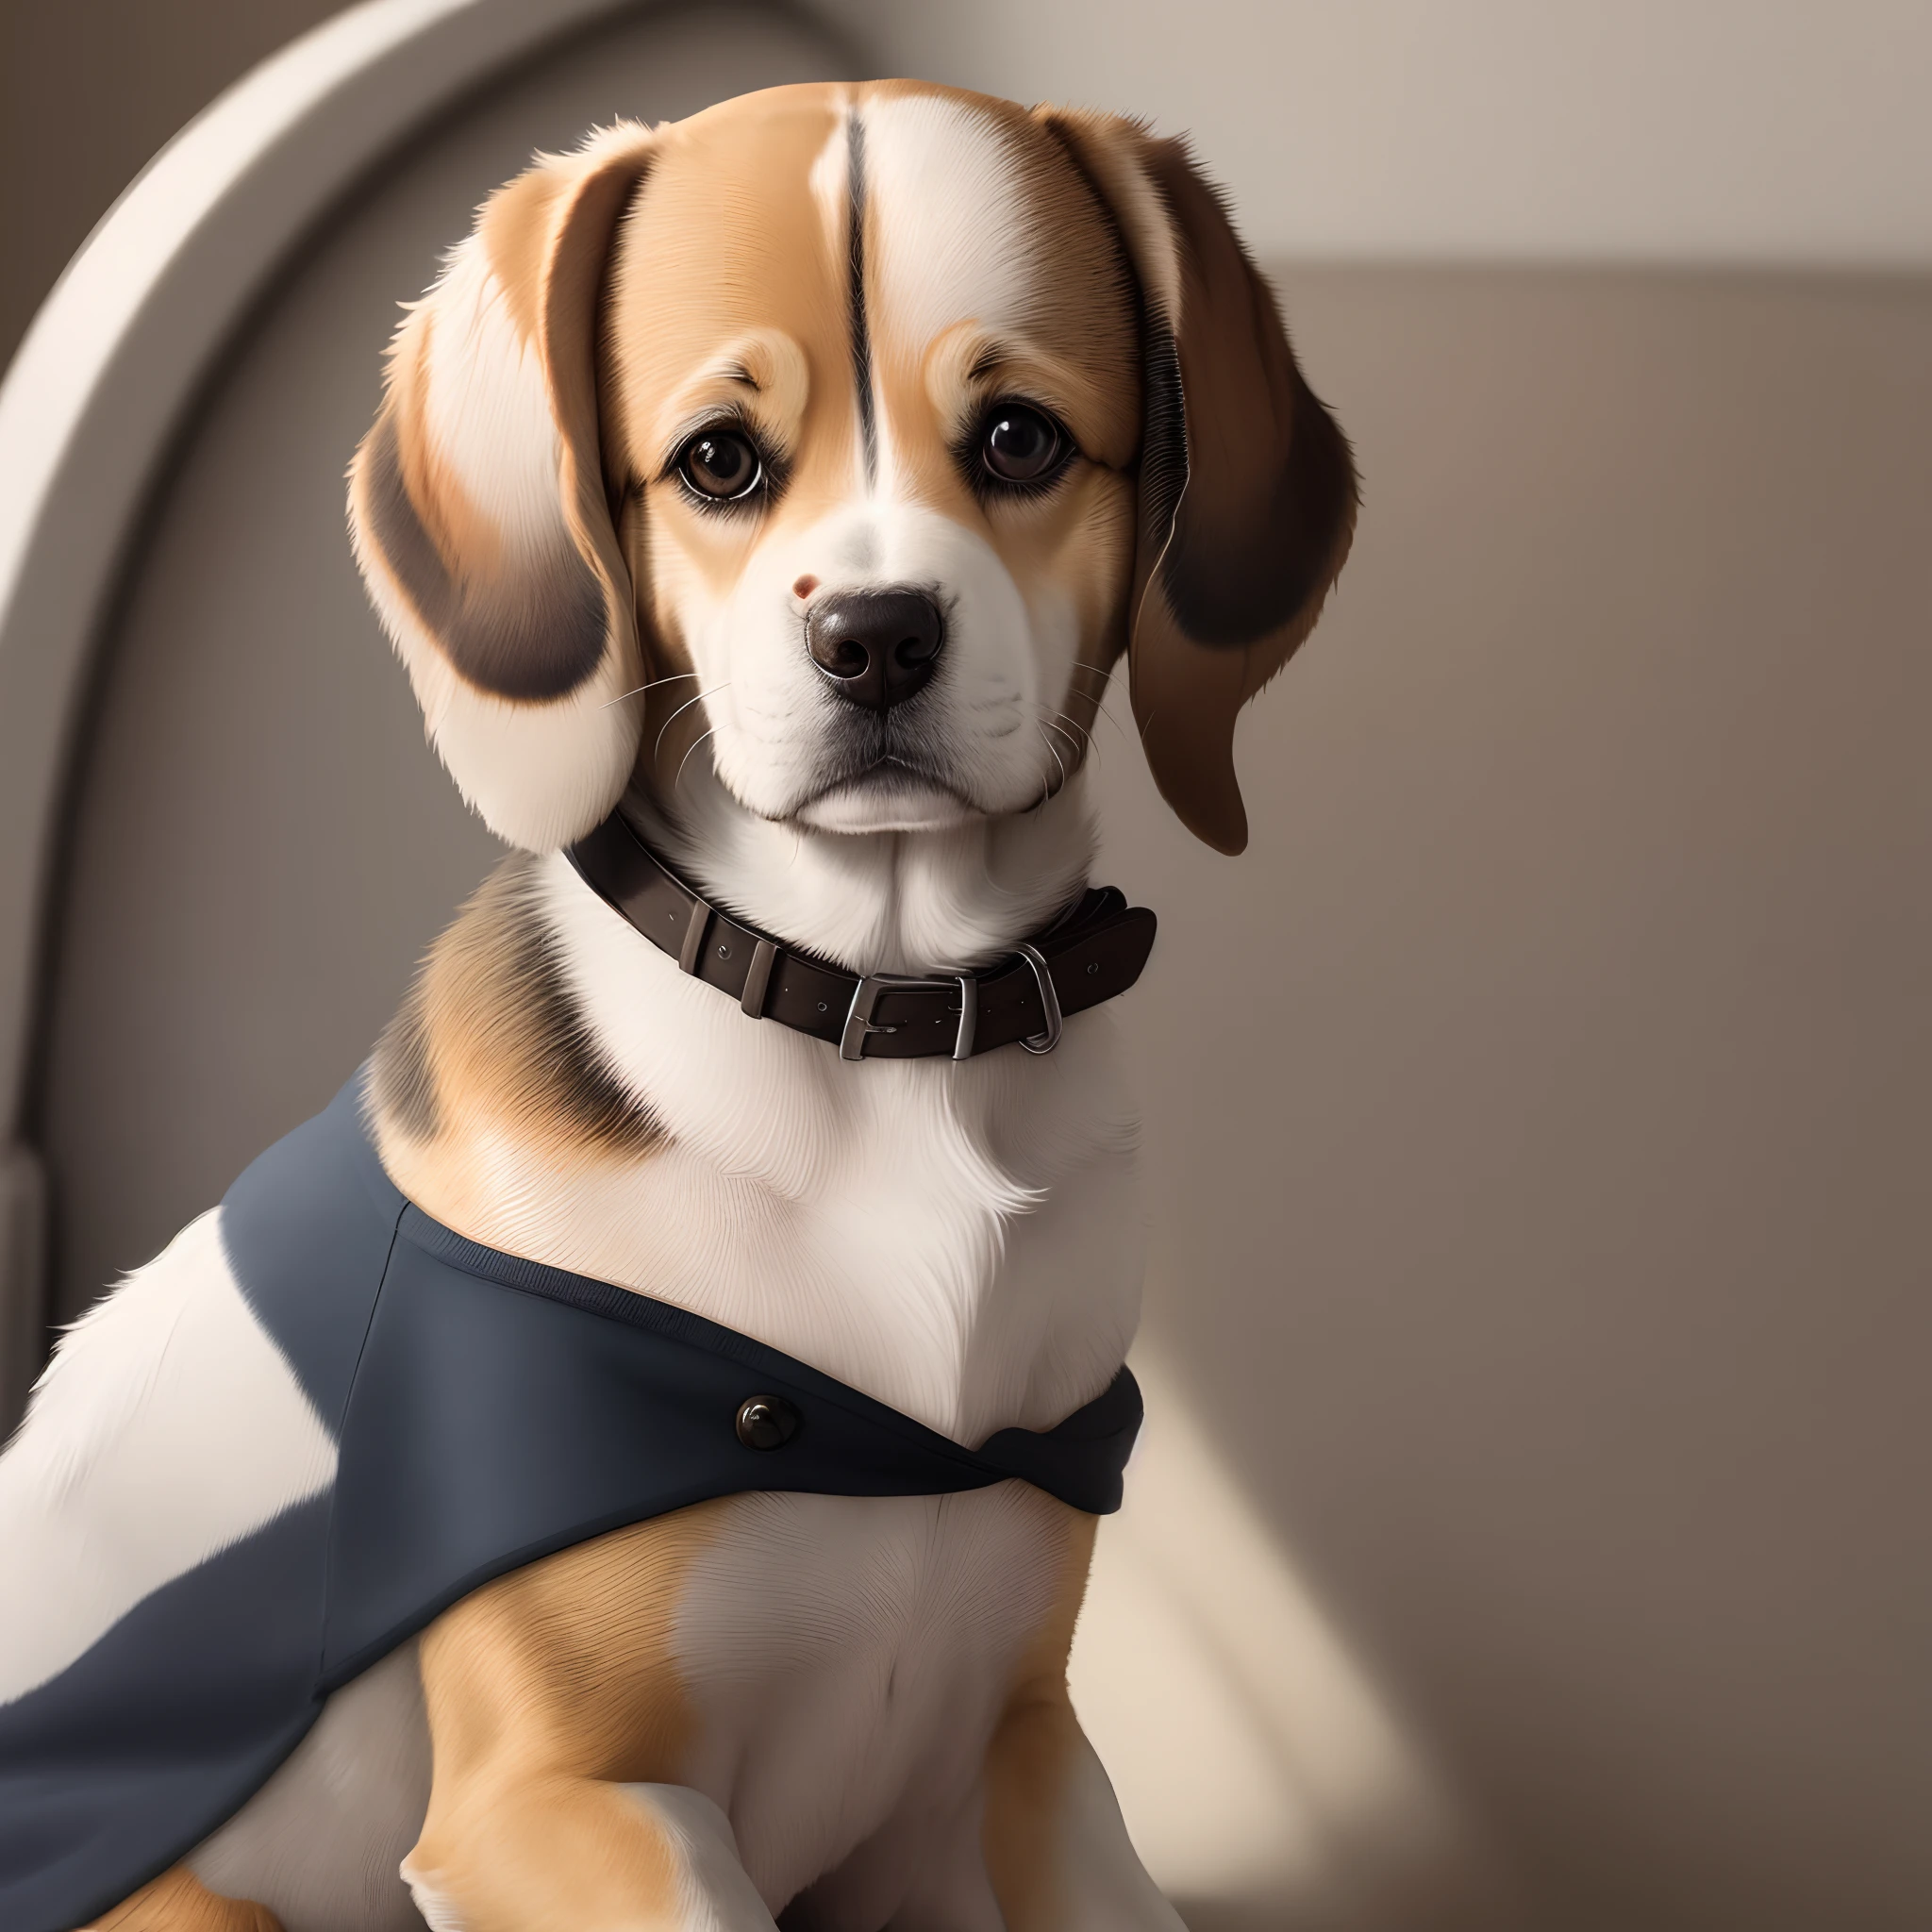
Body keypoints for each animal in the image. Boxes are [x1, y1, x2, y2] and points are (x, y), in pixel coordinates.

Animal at [0, 78, 1359, 1932]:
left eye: (1019, 439)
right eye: (718, 460)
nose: (875, 637)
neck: (877, 1024)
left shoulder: (1007, 1759)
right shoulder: (561, 1802)